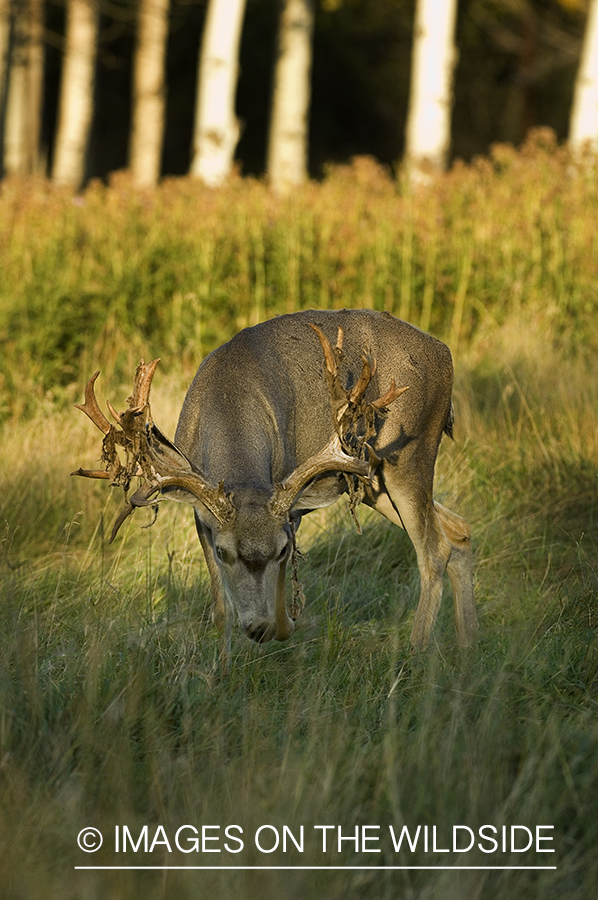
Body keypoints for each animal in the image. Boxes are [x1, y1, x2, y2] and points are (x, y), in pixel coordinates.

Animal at [74, 310, 478, 660]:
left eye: (282, 550)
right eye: (223, 552)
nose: (258, 628)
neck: (229, 396)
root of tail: (444, 352)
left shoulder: (289, 505)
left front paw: (285, 624)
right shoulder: (201, 516)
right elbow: (220, 609)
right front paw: (221, 673)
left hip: (408, 454)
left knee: (433, 550)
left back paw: (417, 650)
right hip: (371, 480)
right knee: (458, 529)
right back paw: (467, 647)